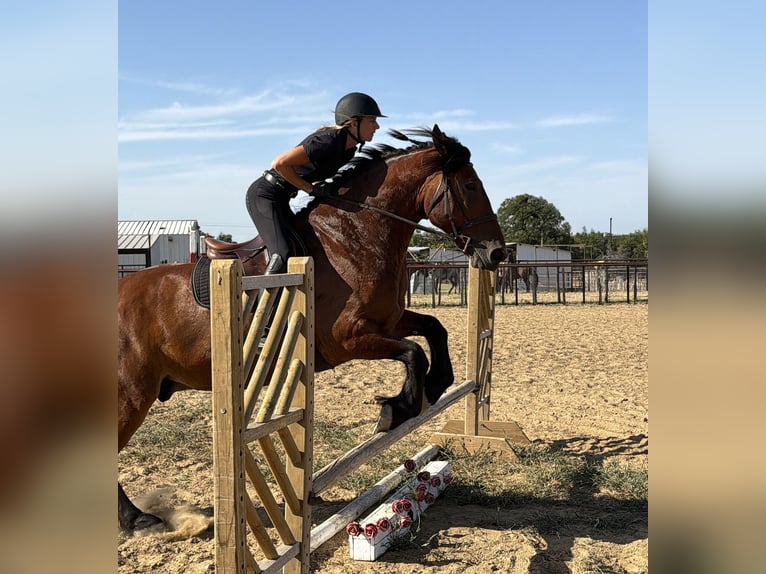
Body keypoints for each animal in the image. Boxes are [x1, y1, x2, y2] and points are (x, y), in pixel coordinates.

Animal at [118, 125, 507, 531]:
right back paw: (137, 519)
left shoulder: (388, 320)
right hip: (130, 395)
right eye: (470, 186)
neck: (354, 239)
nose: (497, 253)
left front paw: (435, 385)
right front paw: (397, 408)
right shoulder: (348, 338)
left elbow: (434, 329)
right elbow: (413, 352)